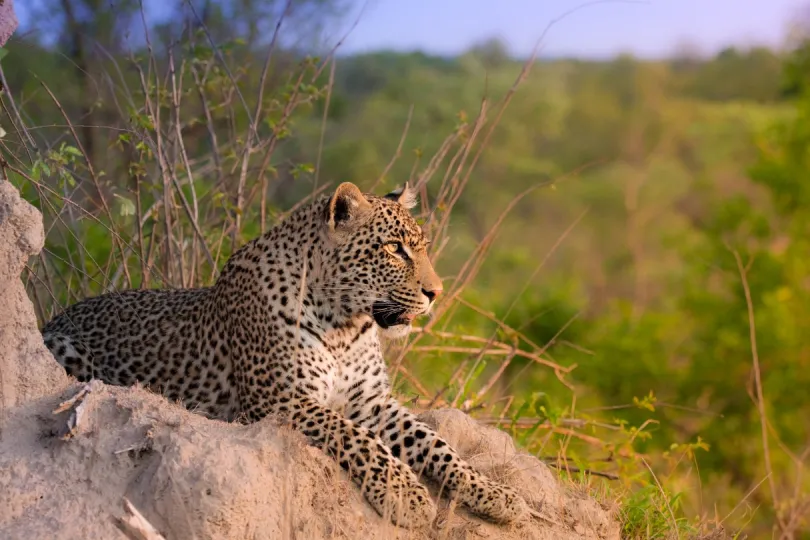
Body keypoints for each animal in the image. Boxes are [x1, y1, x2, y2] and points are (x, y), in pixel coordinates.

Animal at [42, 181, 532, 528]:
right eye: (394, 249)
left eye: (423, 248)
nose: (437, 293)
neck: (344, 325)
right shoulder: (280, 399)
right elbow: (357, 437)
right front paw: (405, 494)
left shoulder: (372, 402)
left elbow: (437, 444)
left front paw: (497, 494)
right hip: (64, 349)